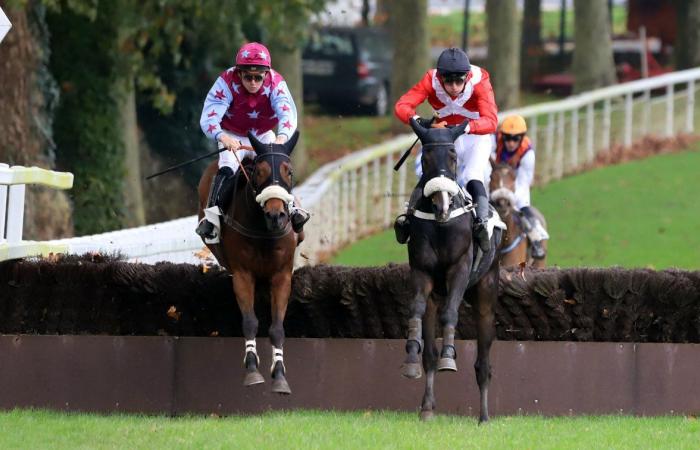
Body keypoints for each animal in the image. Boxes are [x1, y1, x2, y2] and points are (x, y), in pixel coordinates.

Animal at [200, 129, 304, 394]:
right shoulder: (242, 273)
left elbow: (277, 328)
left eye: (289, 171)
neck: (264, 231)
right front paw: (252, 369)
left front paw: (279, 375)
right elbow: (249, 321)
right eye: (259, 171)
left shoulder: (281, 275)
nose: (276, 215)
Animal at [400, 118, 504, 424]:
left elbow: (450, 313)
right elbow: (417, 311)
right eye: (426, 158)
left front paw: (449, 355)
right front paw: (412, 361)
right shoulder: (422, 272)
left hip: (485, 293)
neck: (441, 224)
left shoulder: (459, 269)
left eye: (453, 157)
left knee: (483, 363)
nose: (443, 204)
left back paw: (484, 416)